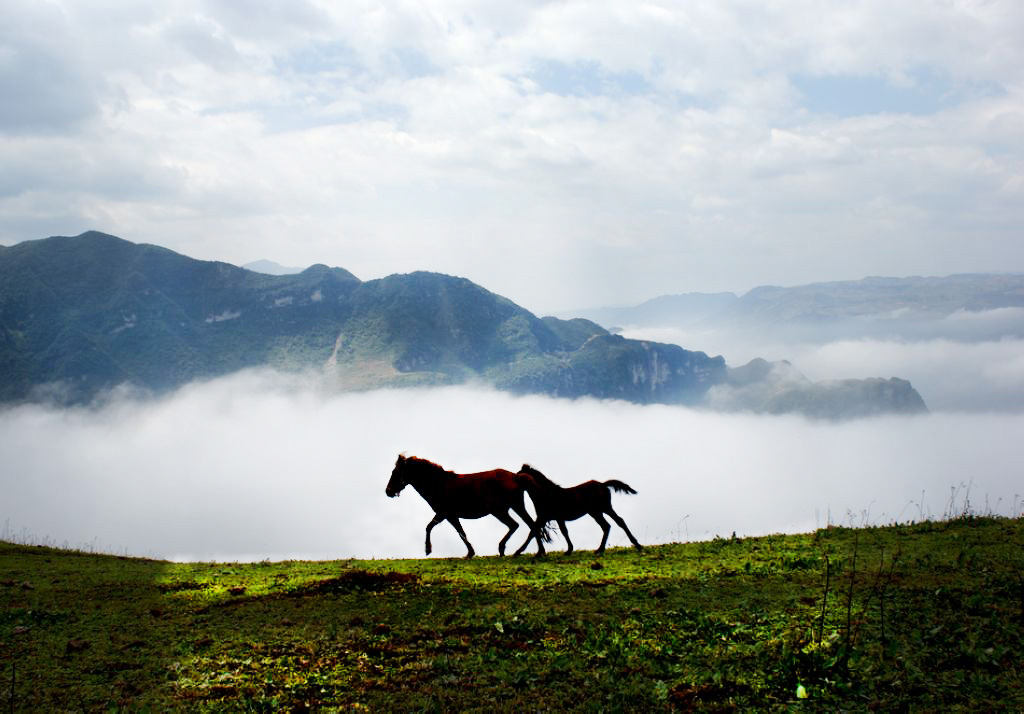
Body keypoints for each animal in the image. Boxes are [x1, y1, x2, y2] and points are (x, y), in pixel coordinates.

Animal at [385, 456, 548, 557]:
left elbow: (431, 527)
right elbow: (460, 532)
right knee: (523, 525)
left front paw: (428, 549)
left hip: (505, 509)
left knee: (524, 525)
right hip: (508, 509)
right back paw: (522, 550)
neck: (439, 484)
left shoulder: (444, 514)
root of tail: (515, 476)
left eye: (396, 472)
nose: (388, 491)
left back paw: (524, 551)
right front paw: (470, 553)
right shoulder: (450, 516)